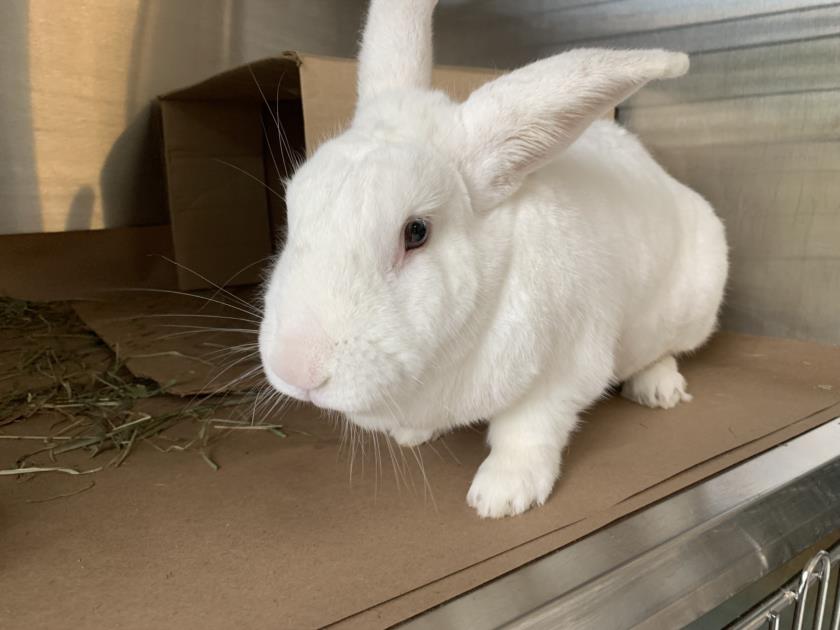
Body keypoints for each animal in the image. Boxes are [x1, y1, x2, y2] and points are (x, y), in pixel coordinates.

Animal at [260, 0, 724, 520]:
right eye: (293, 207)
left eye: (416, 232)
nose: (295, 370)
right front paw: (410, 436)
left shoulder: (566, 370)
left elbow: (527, 429)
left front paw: (501, 497)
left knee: (663, 350)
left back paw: (658, 390)